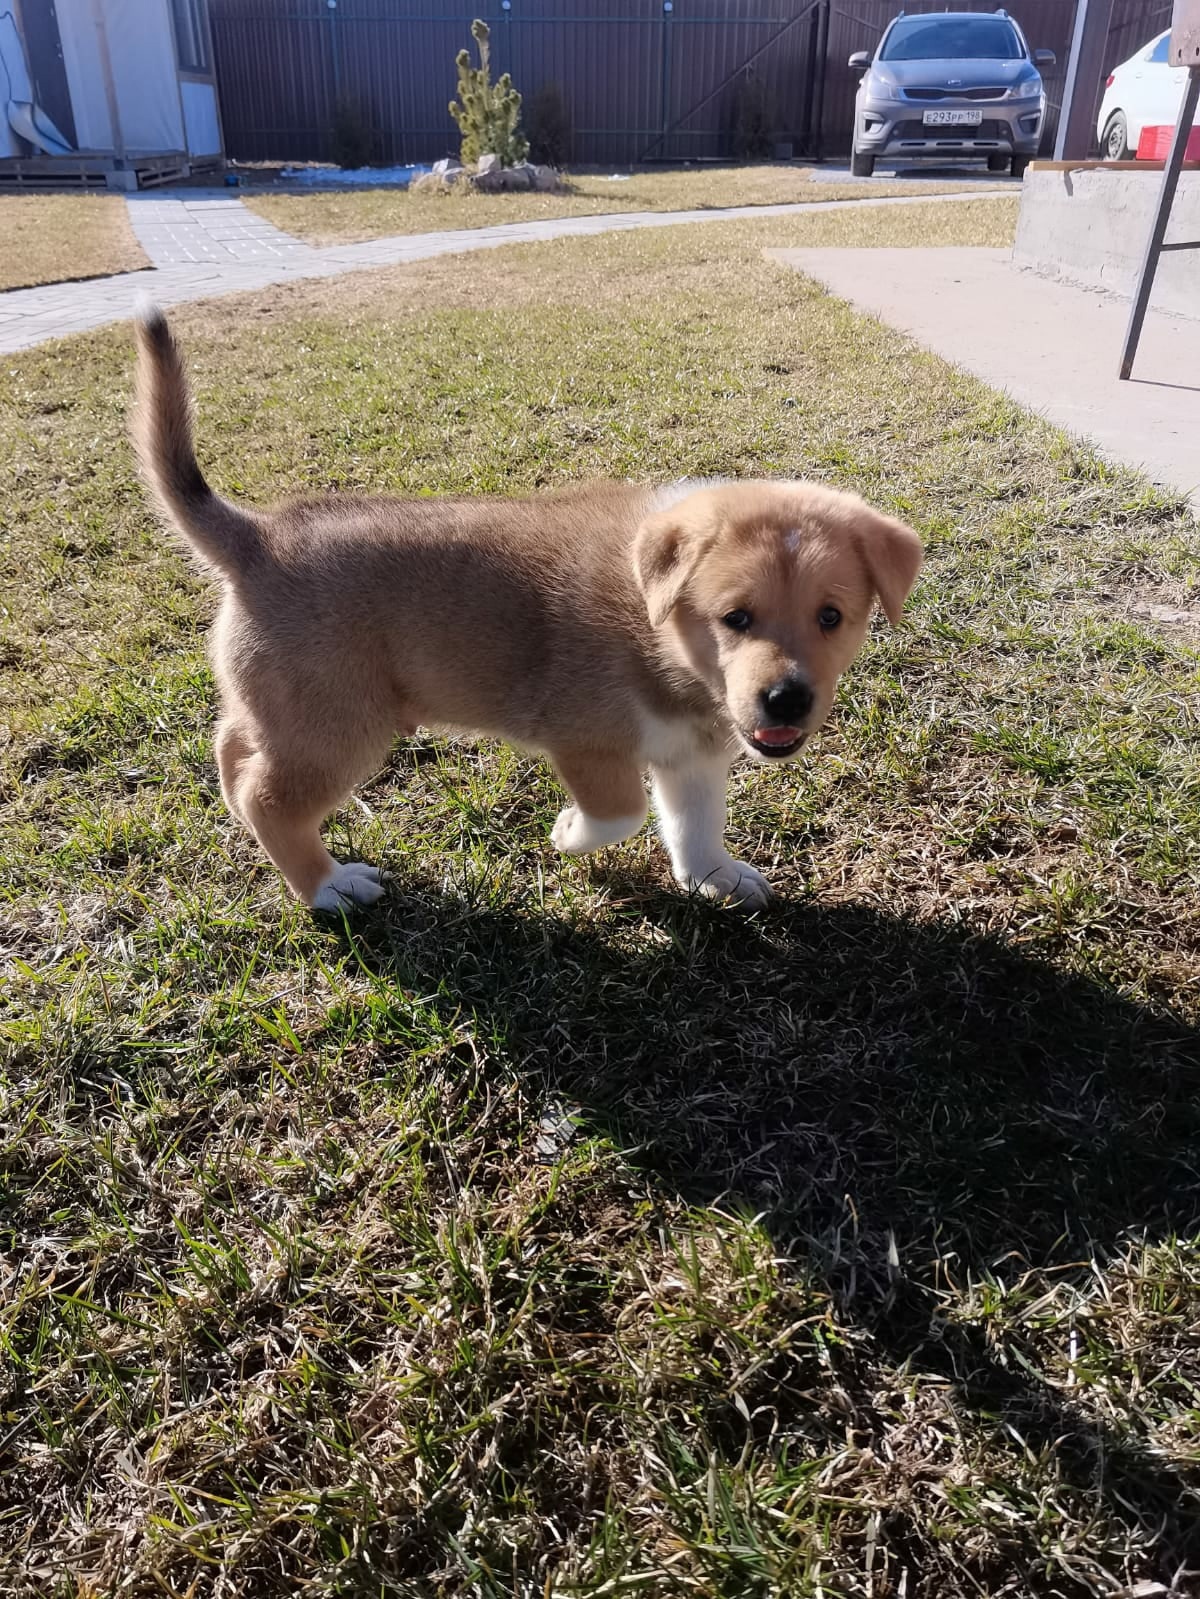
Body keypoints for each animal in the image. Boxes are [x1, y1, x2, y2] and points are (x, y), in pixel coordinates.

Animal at [131, 308, 928, 914]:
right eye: (735, 618)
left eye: (832, 618)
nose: (787, 700)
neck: (659, 636)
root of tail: (258, 540)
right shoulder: (586, 744)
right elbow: (621, 811)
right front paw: (569, 832)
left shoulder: (693, 756)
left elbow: (694, 826)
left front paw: (715, 877)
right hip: (337, 728)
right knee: (270, 800)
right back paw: (330, 887)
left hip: (283, 712)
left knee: (234, 756)